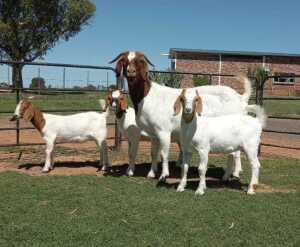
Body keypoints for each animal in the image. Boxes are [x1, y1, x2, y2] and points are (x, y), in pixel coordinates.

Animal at [109, 51, 252, 180]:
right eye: (125, 61)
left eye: (138, 61)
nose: (131, 72)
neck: (148, 96)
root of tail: (241, 98)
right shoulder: (153, 133)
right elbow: (154, 153)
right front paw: (151, 173)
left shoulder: (163, 131)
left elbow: (164, 154)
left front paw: (164, 174)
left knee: (235, 153)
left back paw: (235, 173)